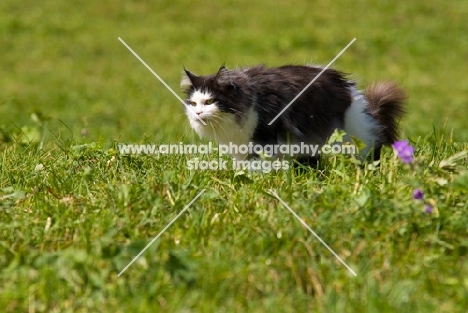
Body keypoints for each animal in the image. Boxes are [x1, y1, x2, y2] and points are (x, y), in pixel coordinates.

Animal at [180, 63, 406, 161]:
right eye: (193, 103)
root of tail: (350, 89)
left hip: (350, 136)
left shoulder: (264, 137)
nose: (198, 114)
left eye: (210, 101)